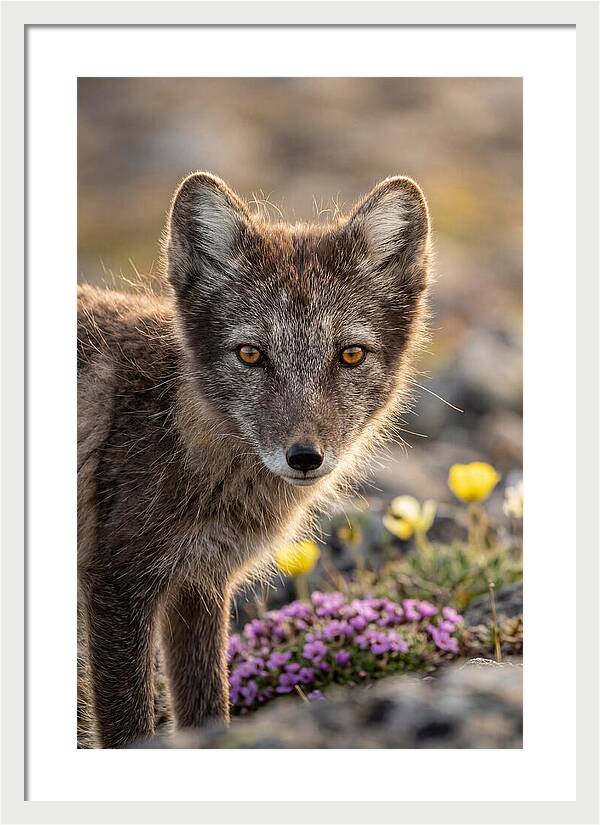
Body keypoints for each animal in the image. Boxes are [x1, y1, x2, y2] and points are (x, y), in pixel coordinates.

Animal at [77, 172, 431, 748]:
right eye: (250, 354)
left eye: (350, 355)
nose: (305, 457)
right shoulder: (116, 583)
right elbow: (129, 729)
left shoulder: (199, 585)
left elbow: (208, 711)